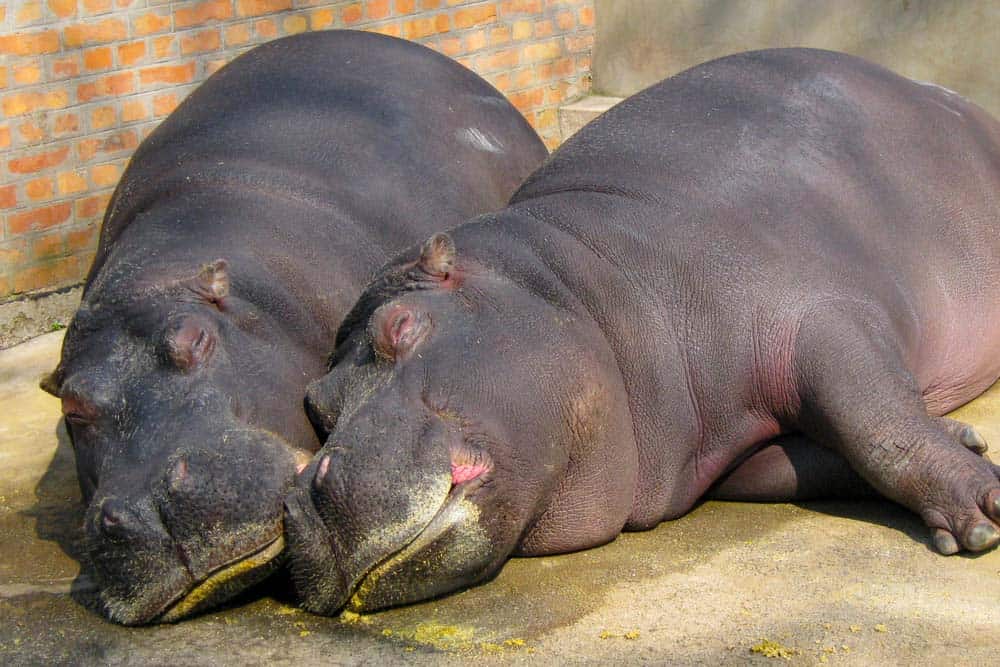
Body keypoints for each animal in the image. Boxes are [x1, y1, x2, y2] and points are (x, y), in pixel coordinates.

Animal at [286, 48, 1000, 616]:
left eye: (399, 324)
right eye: (317, 407)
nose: (301, 502)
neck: (590, 284)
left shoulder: (820, 317)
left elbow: (878, 428)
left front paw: (987, 505)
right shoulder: (726, 454)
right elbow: (816, 461)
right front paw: (967, 443)